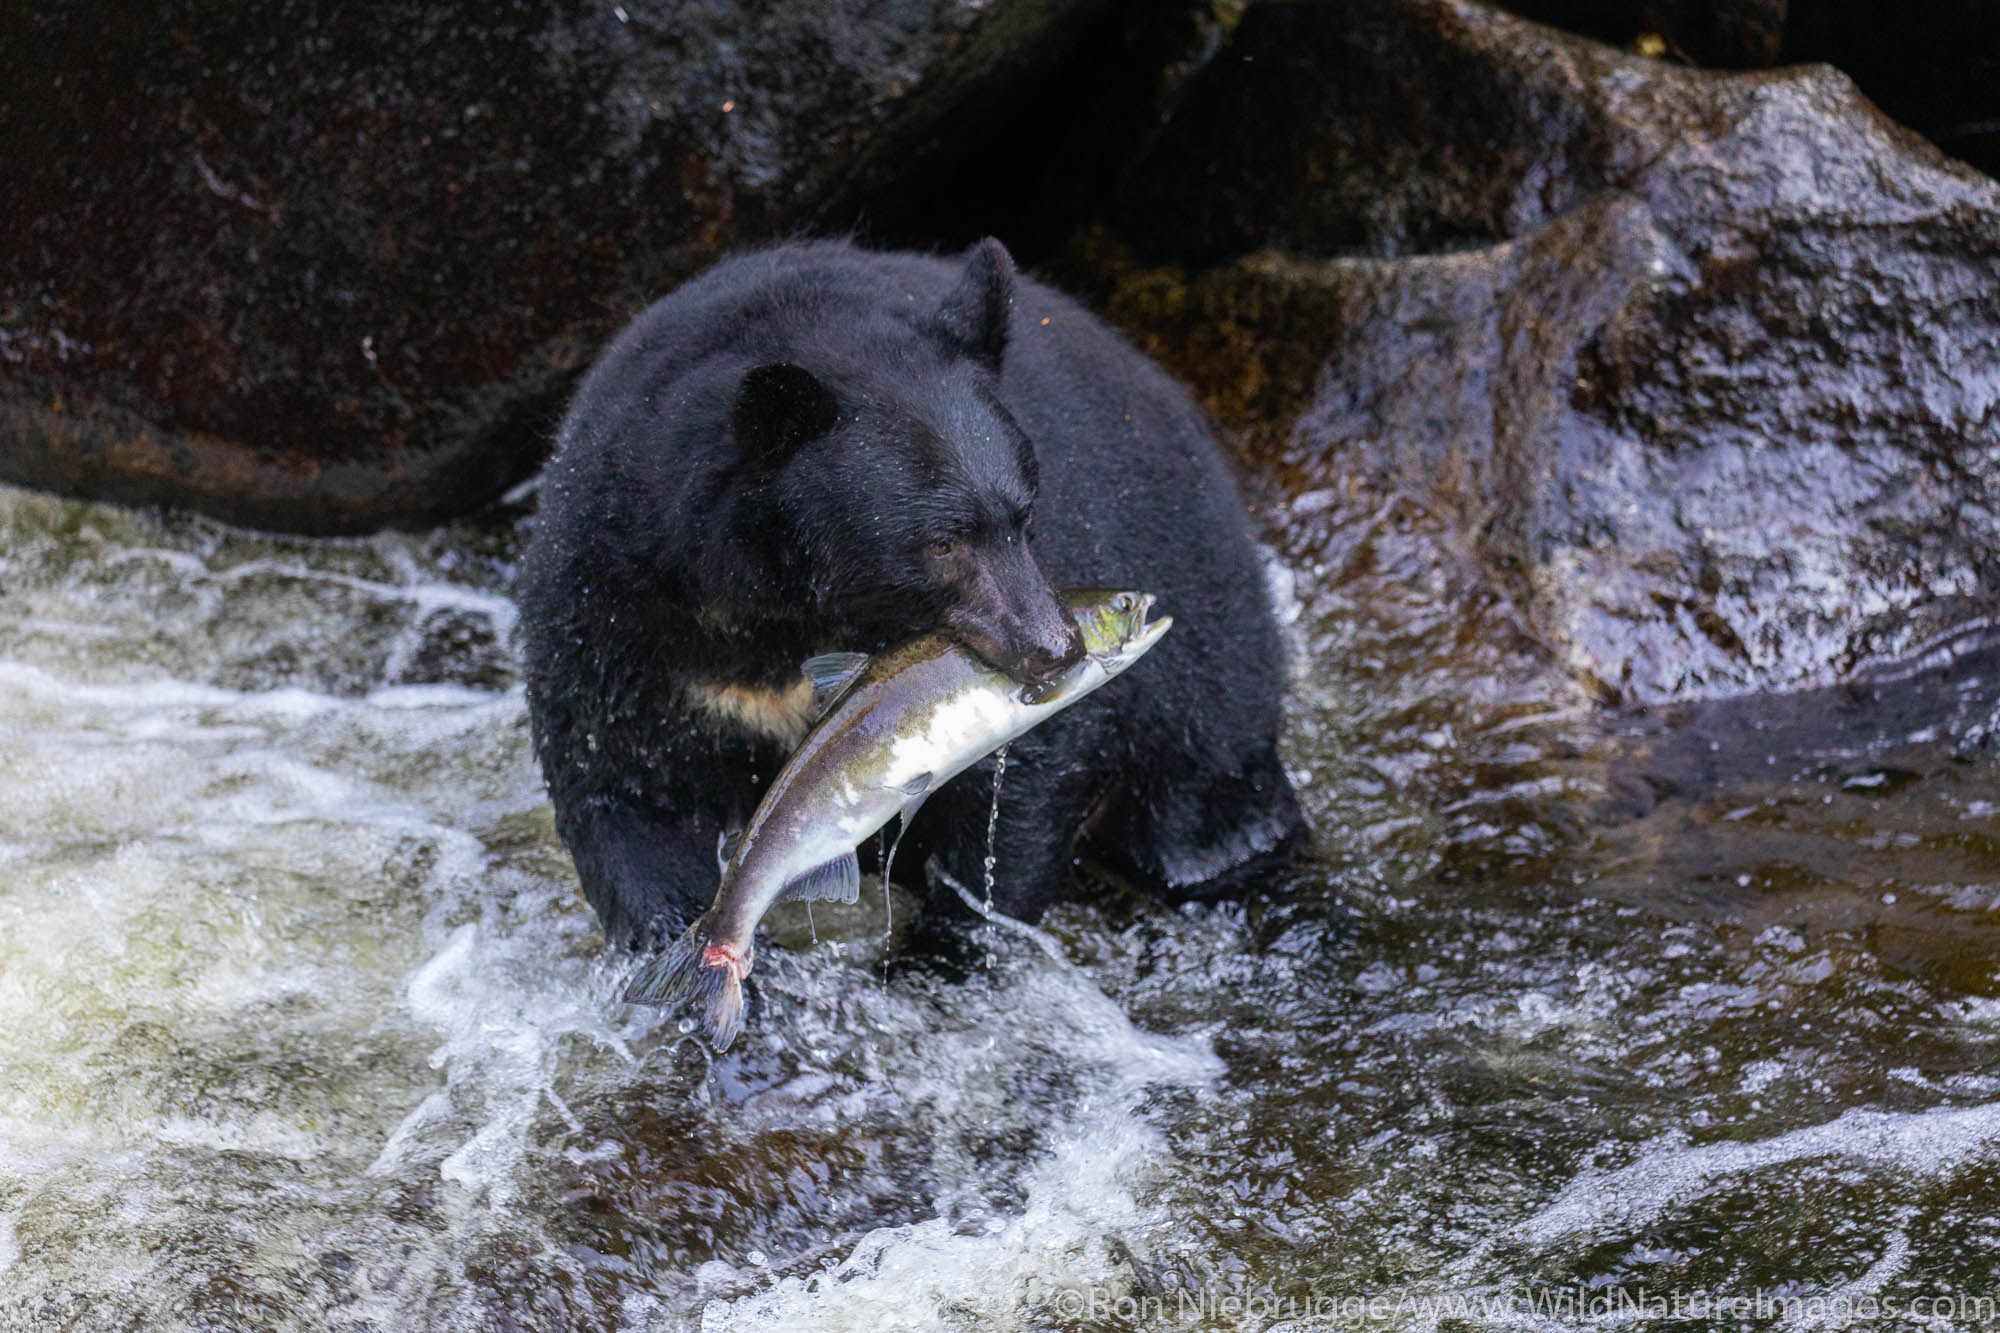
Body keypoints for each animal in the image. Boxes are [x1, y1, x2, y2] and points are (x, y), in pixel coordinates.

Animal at [516, 239, 1296, 944]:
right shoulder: (619, 598)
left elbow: (1021, 789)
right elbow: (621, 778)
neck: (781, 605)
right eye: (942, 542)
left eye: (1025, 515)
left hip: (1209, 690)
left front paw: (955, 941)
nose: (1056, 648)